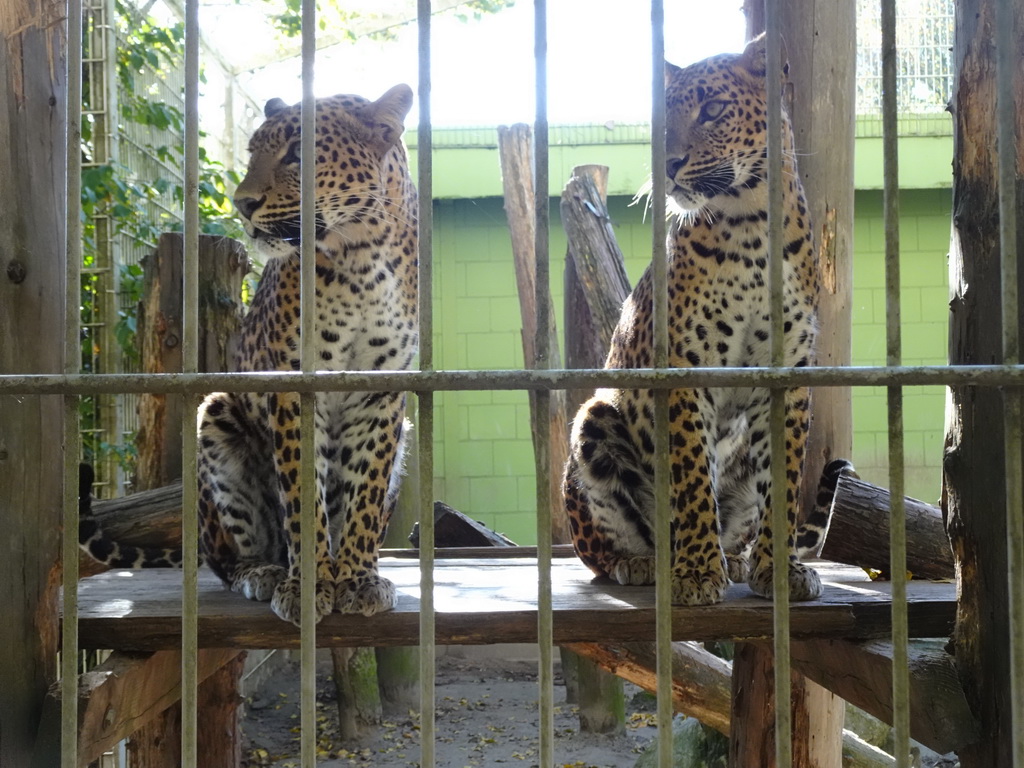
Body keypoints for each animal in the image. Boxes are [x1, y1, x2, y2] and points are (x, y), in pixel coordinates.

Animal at [77, 85, 417, 626]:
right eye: (254, 151)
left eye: (298, 152)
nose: (242, 204)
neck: (361, 257)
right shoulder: (294, 387)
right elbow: (303, 498)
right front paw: (308, 586)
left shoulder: (382, 394)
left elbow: (363, 494)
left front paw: (358, 579)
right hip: (215, 423)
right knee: (226, 560)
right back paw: (265, 572)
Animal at [565, 37, 835, 606]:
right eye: (662, 116)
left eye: (711, 110)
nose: (667, 163)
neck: (752, 224)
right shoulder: (684, 371)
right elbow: (691, 477)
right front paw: (695, 573)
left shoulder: (787, 375)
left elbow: (783, 480)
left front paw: (779, 570)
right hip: (595, 418)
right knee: (602, 551)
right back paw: (646, 564)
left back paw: (738, 558)